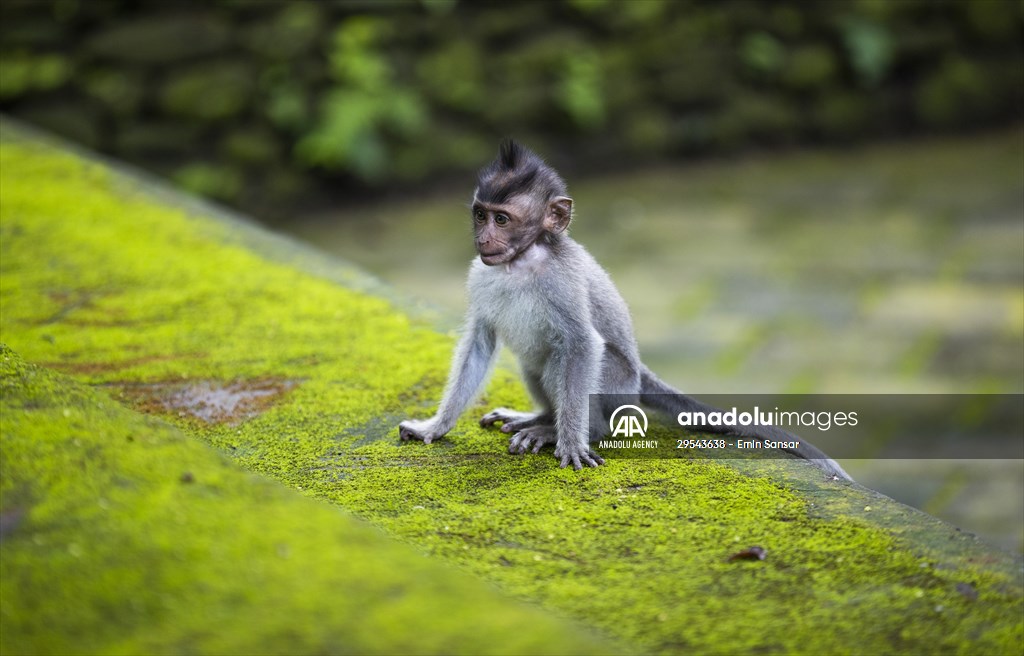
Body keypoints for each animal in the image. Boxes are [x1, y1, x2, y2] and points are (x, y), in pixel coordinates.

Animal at [398, 139, 851, 481]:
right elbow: (479, 341)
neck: (521, 262)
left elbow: (582, 344)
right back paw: (541, 417)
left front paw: (572, 444)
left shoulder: (562, 282)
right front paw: (434, 427)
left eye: (503, 220)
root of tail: (637, 378)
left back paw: (568, 429)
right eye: (480, 215)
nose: (484, 239)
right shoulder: (481, 274)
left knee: (568, 358)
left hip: (618, 387)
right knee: (536, 360)